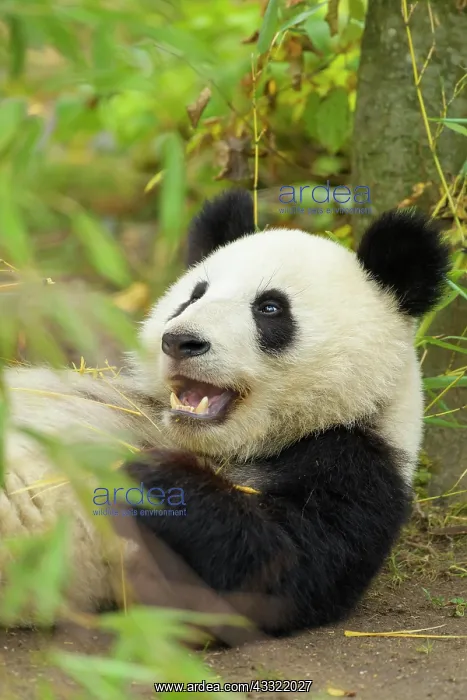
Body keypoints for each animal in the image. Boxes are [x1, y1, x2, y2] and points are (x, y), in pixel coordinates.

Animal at [0, 189, 449, 634]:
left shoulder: (356, 464)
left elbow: (280, 567)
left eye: (270, 308)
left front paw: (151, 473)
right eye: (194, 295)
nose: (180, 341)